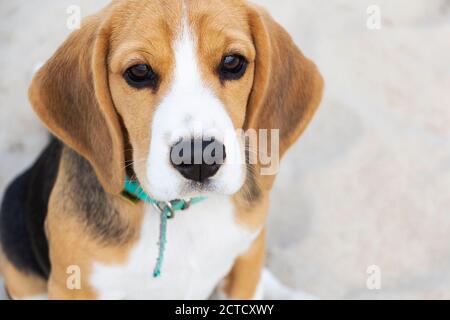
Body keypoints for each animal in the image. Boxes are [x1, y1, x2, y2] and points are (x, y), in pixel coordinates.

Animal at [0, 0, 324, 300]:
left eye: (233, 62)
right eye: (139, 71)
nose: (199, 159)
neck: (180, 210)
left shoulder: (246, 265)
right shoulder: (73, 286)